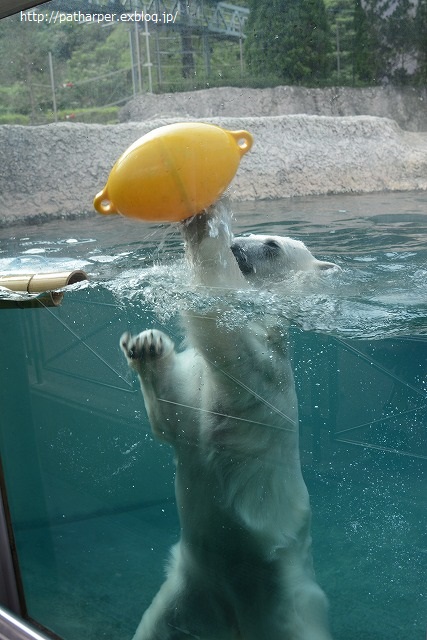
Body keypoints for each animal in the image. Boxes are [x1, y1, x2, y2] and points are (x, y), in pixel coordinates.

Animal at [119, 204, 334, 640]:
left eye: (272, 245)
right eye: (247, 233)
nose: (234, 246)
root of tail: (233, 613)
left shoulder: (263, 371)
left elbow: (224, 332)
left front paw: (203, 227)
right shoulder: (200, 398)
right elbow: (176, 418)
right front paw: (147, 346)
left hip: (289, 598)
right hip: (187, 588)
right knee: (157, 626)